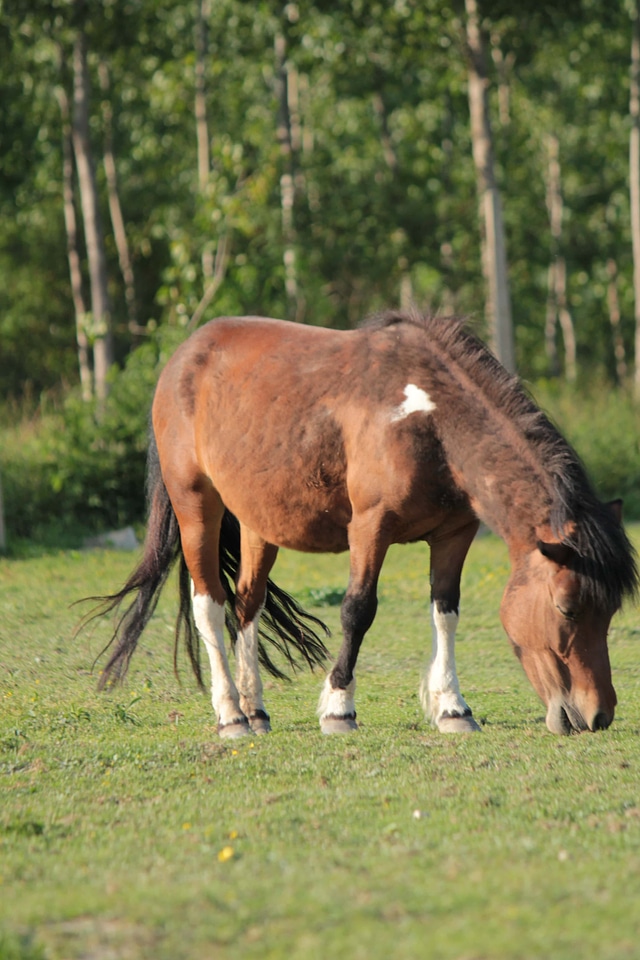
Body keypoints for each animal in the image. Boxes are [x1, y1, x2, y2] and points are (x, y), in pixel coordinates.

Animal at [87, 312, 636, 740]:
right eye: (566, 608)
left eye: (610, 611)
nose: (598, 714)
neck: (429, 418)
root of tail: (183, 357)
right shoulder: (371, 527)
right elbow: (358, 610)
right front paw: (339, 708)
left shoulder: (454, 535)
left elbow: (446, 612)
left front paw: (453, 708)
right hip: (197, 506)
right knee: (209, 605)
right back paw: (231, 716)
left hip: (258, 524)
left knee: (247, 603)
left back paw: (256, 710)